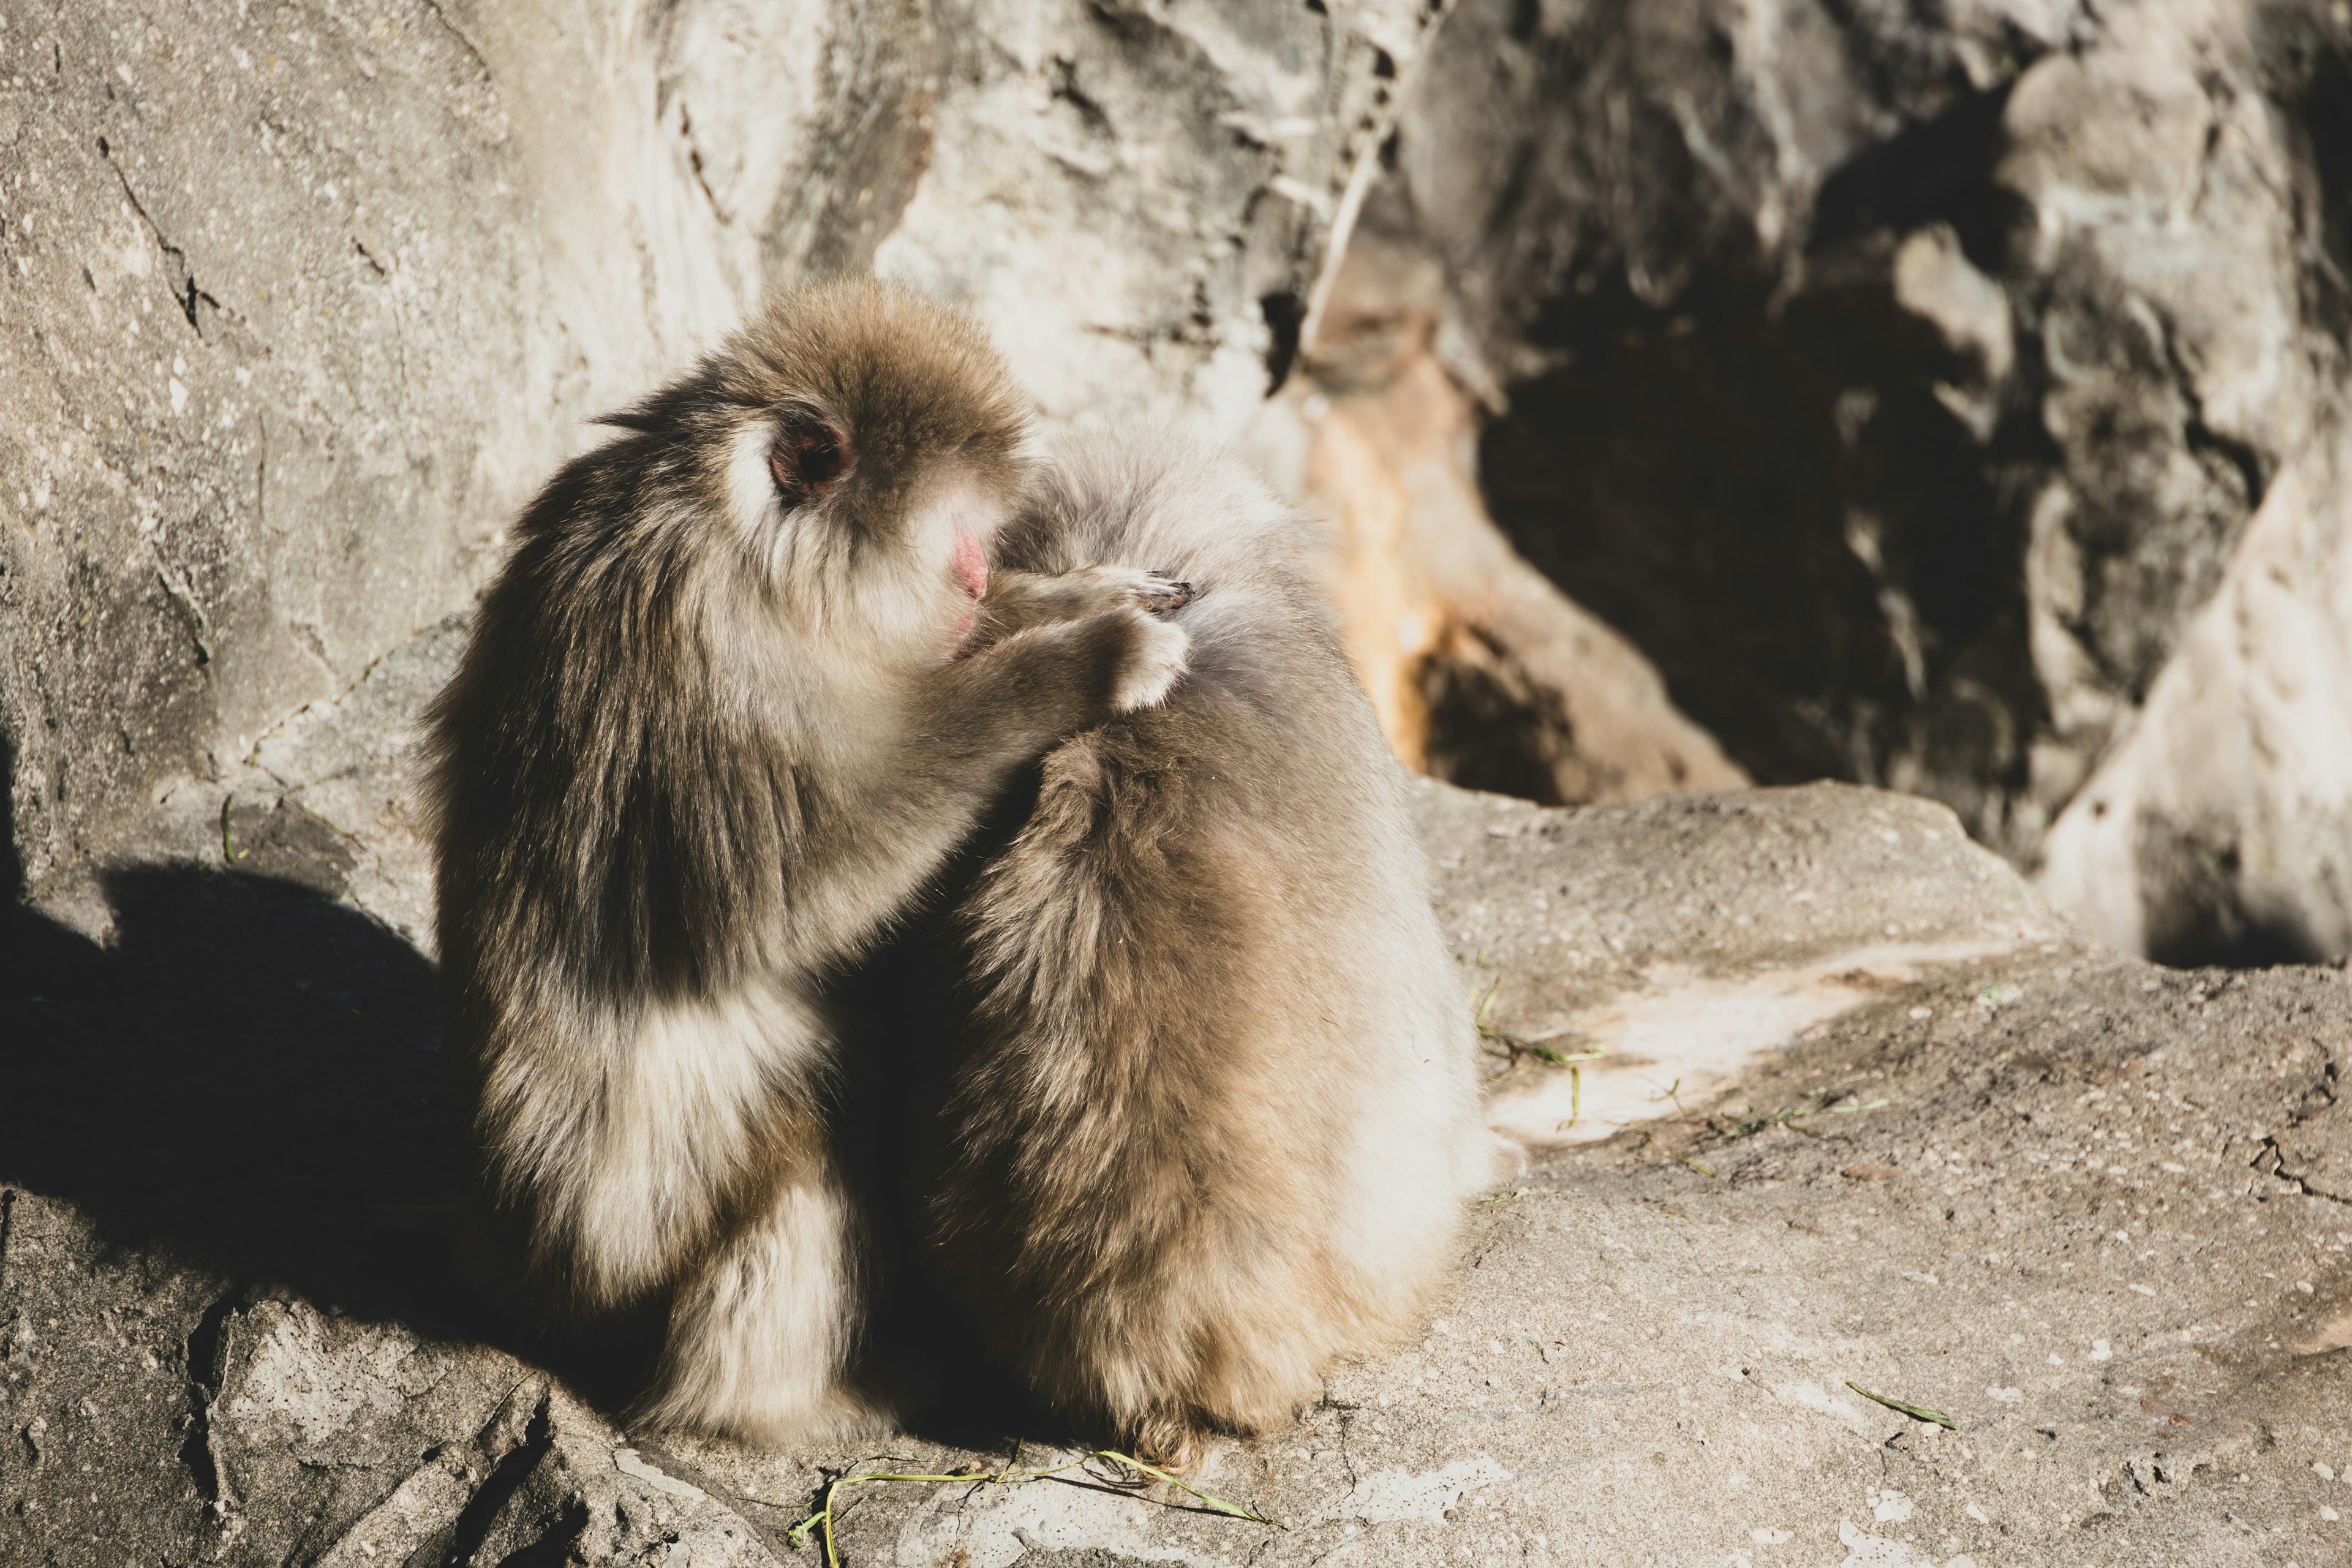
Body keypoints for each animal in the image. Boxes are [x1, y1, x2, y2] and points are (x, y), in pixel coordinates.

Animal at [421, 282, 1194, 1448]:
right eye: (957, 536)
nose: (977, 574)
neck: (749, 551)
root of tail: (522, 1277)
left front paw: (1069, 597)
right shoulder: (708, 657)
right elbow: (790, 890)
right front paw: (1082, 663)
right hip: (639, 1243)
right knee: (802, 1134)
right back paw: (788, 1398)